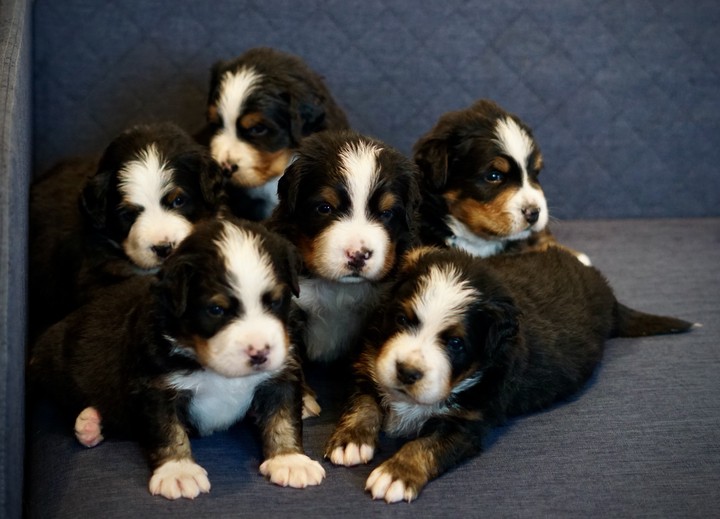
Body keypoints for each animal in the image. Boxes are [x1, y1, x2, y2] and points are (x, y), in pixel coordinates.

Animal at [29, 217, 326, 500]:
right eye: (215, 309)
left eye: (275, 301)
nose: (260, 353)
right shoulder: (156, 386)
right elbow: (167, 430)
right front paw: (178, 471)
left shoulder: (279, 376)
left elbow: (283, 417)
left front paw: (290, 460)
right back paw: (88, 423)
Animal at [325, 246, 696, 503]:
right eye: (402, 319)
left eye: (456, 343)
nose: (407, 372)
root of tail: (605, 289)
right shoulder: (370, 361)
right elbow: (363, 402)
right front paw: (351, 440)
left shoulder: (470, 420)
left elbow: (426, 444)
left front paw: (395, 474)